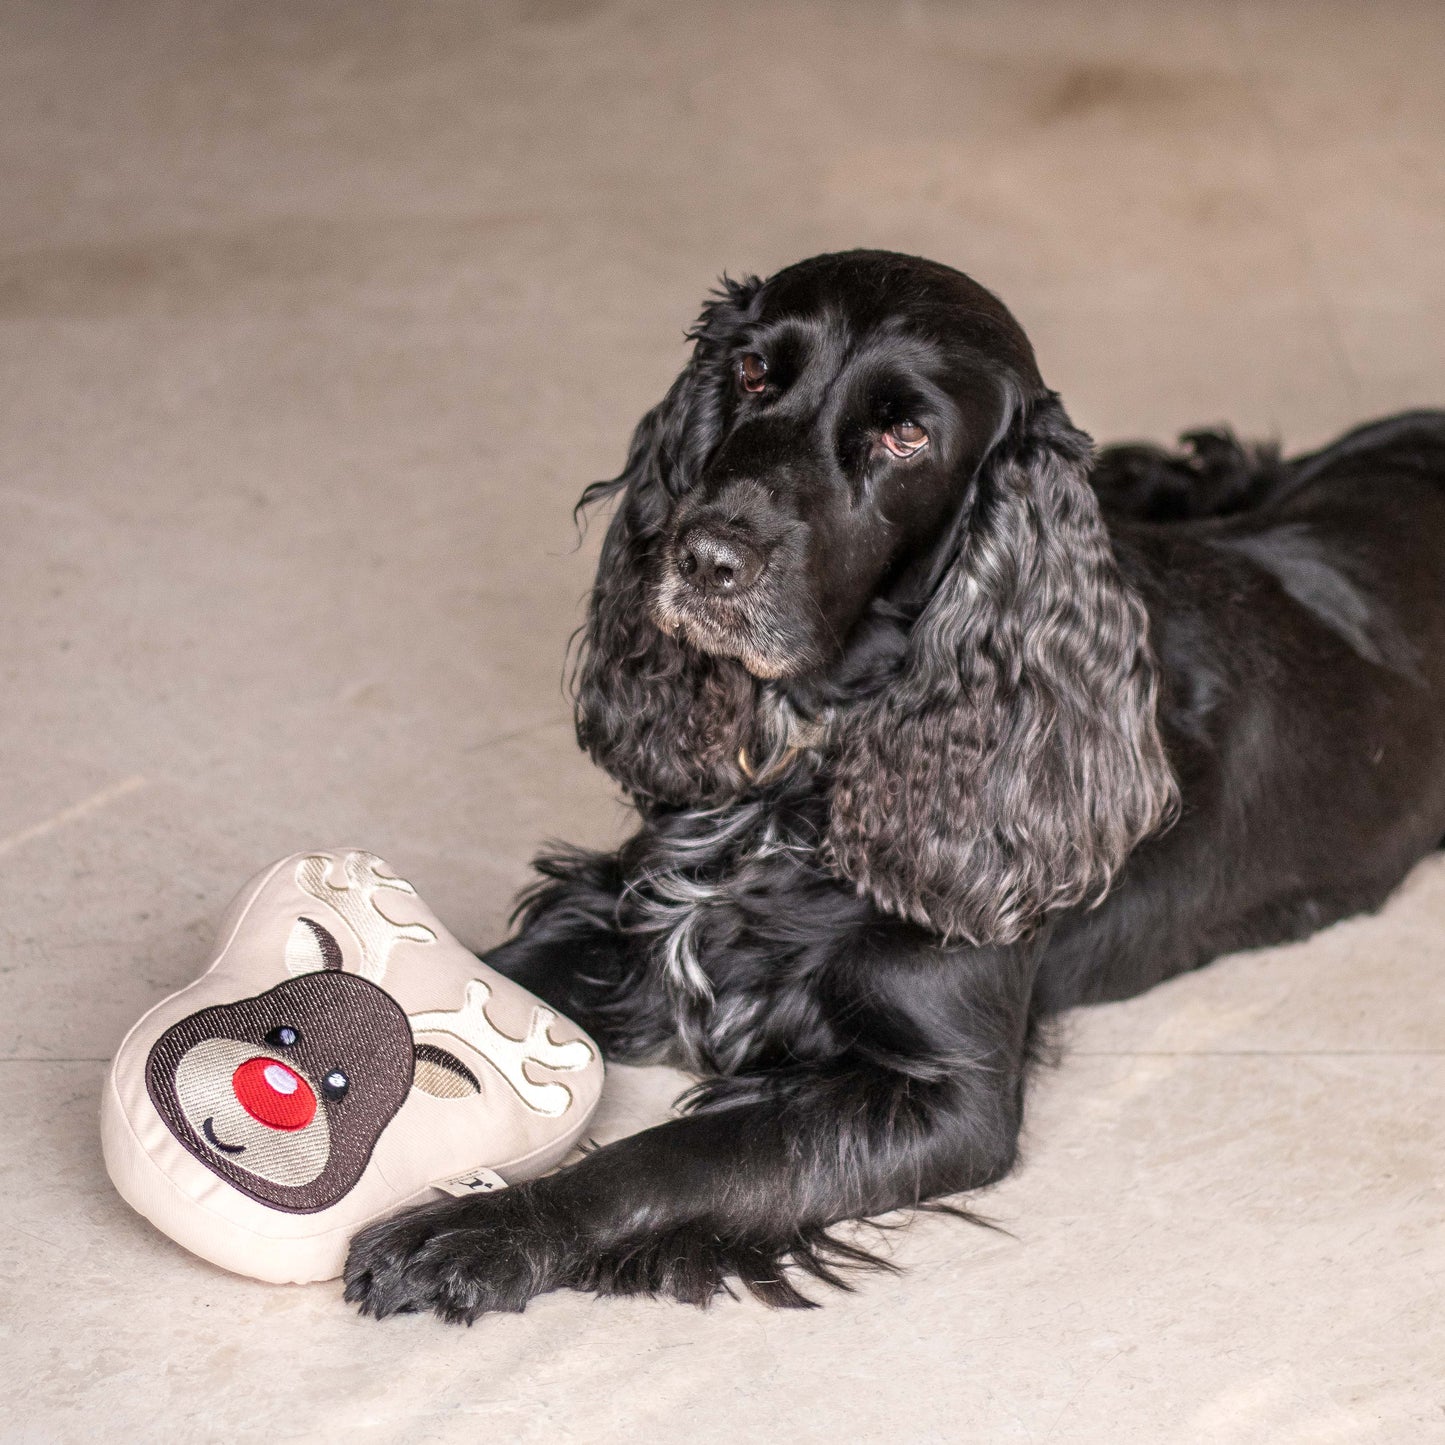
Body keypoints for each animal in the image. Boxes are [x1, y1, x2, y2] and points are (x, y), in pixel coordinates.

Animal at [341, 245, 1445, 1323]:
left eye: (906, 434)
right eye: (753, 373)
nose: (702, 555)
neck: (799, 770)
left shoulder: (946, 1092)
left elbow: (669, 1155)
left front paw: (480, 1229)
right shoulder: (618, 916)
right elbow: (467, 979)